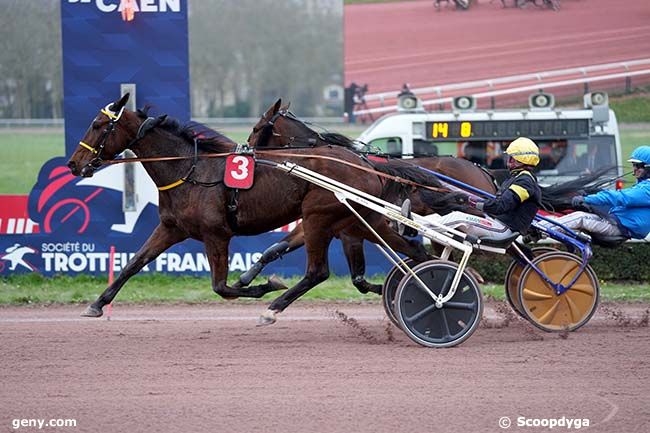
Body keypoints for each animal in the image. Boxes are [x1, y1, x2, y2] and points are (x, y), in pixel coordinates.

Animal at [67, 94, 450, 324]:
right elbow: (134, 263)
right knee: (414, 251)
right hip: (358, 219)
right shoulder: (171, 228)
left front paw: (267, 286)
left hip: (319, 216)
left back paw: (273, 308)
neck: (190, 169)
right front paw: (97, 303)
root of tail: (366, 165)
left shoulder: (216, 235)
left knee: (317, 272)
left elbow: (221, 287)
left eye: (98, 125)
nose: (74, 164)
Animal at [235, 99, 494, 292]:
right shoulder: (320, 221)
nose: (245, 149)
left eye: (256, 129)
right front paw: (245, 279)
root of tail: (482, 170)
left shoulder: (349, 231)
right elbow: (274, 249)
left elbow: (359, 279)